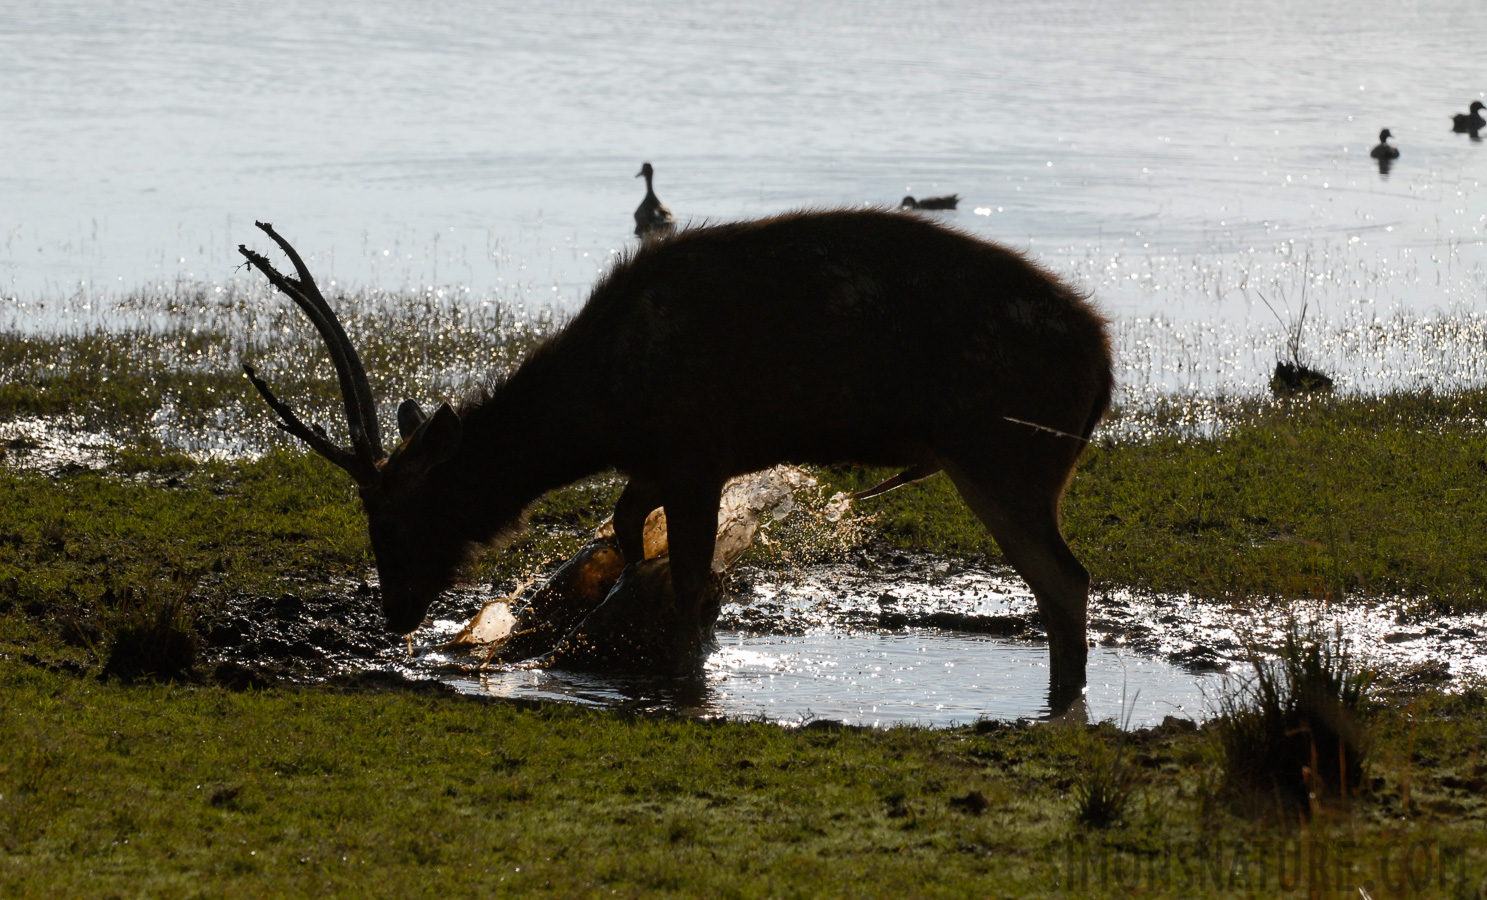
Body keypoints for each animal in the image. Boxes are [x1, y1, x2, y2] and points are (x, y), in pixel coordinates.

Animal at [237, 212, 1112, 702]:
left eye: (392, 518)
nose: (395, 612)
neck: (601, 408)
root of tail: (1102, 369)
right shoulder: (657, 461)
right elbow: (632, 531)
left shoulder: (697, 449)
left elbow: (690, 575)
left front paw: (684, 671)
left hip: (1004, 455)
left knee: (1064, 580)